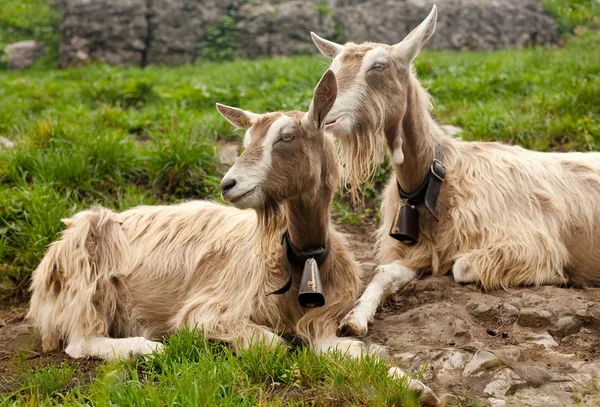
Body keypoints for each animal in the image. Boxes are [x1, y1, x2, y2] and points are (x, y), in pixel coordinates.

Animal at [28, 71, 370, 362]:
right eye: (245, 143)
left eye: (286, 137)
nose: (228, 184)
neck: (300, 257)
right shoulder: (207, 310)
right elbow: (273, 346)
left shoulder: (326, 315)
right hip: (88, 268)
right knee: (79, 340)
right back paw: (150, 347)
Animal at [312, 6, 600, 338]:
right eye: (332, 67)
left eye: (379, 66)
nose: (324, 115)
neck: (435, 179)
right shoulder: (417, 249)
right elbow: (385, 272)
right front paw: (355, 318)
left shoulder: (528, 242)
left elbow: (462, 267)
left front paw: (555, 274)